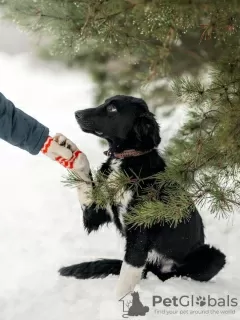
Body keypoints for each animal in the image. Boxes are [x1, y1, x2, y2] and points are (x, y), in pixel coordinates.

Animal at [59, 94, 226, 298]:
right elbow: (84, 180)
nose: (77, 114)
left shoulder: (139, 234)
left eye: (112, 109)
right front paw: (69, 151)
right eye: (105, 102)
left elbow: (125, 279)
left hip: (212, 256)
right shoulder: (95, 215)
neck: (126, 159)